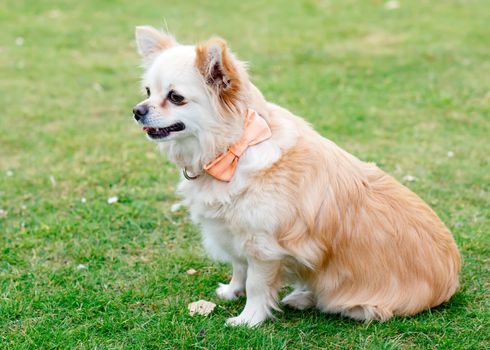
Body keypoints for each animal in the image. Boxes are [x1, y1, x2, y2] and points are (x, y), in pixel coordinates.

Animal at [132, 26, 462, 326]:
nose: (137, 110)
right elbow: (239, 268)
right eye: (148, 92)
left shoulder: (263, 247)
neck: (233, 149)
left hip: (349, 297)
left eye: (175, 97)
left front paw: (248, 319)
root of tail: (451, 281)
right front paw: (232, 291)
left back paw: (304, 299)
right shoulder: (234, 233)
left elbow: (256, 284)